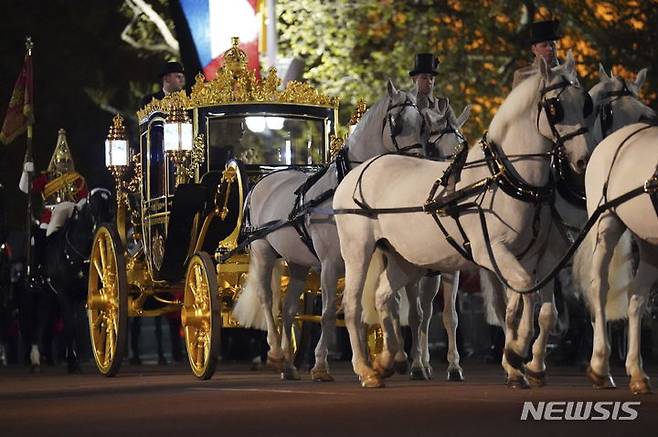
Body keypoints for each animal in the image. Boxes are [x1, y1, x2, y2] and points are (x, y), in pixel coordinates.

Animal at [234, 80, 466, 380]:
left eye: (422, 126)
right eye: (397, 122)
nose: (416, 164)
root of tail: (265, 178)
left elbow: (381, 305)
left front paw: (387, 359)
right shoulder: (332, 262)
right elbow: (330, 312)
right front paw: (322, 365)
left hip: (298, 261)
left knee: (288, 308)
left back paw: (288, 363)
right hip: (262, 250)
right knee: (267, 298)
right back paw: (275, 352)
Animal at [334, 52, 588, 388]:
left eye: (584, 102)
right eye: (555, 106)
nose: (583, 159)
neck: (505, 177)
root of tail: (361, 169)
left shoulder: (535, 257)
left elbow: (531, 304)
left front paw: (521, 363)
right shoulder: (491, 252)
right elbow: (522, 293)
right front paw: (517, 352)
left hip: (405, 259)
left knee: (384, 297)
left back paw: (390, 359)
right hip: (357, 251)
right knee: (352, 305)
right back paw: (365, 368)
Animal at [476, 64, 652, 384]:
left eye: (644, 114)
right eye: (608, 112)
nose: (628, 162)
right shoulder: (553, 254)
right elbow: (548, 311)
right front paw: (533, 362)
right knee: (509, 302)